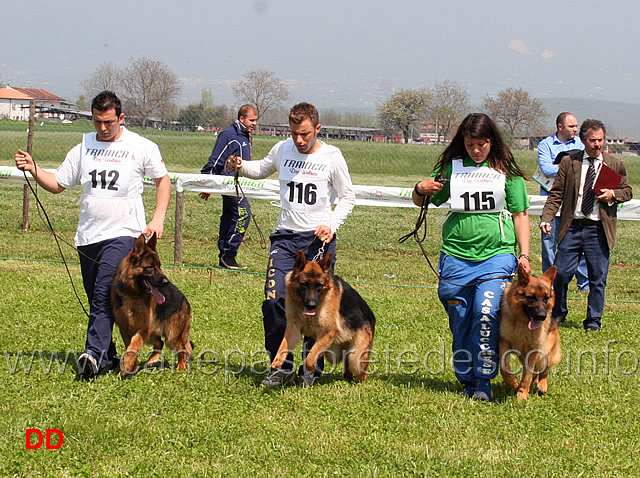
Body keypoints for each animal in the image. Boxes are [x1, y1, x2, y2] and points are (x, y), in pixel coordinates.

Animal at [110, 233, 192, 376]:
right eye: (150, 267)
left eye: (159, 266)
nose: (166, 282)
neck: (133, 295)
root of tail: (185, 300)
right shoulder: (125, 329)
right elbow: (130, 347)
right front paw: (132, 366)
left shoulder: (142, 329)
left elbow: (134, 345)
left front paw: (127, 364)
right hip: (152, 334)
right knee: (160, 342)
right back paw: (152, 360)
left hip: (172, 336)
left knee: (182, 350)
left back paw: (180, 368)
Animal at [268, 250, 376, 384]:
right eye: (304, 284)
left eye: (319, 285)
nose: (311, 304)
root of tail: (372, 316)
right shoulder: (293, 329)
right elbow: (283, 346)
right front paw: (277, 361)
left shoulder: (328, 332)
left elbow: (309, 359)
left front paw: (311, 369)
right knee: (348, 371)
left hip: (355, 357)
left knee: (362, 374)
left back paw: (359, 385)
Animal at [500, 266, 560, 400]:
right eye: (532, 297)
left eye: (546, 298)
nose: (542, 316)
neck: (521, 322)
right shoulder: (504, 342)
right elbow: (504, 366)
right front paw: (512, 381)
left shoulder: (533, 350)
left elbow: (526, 376)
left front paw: (522, 396)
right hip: (522, 356)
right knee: (535, 372)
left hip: (544, 351)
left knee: (544, 370)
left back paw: (542, 385)